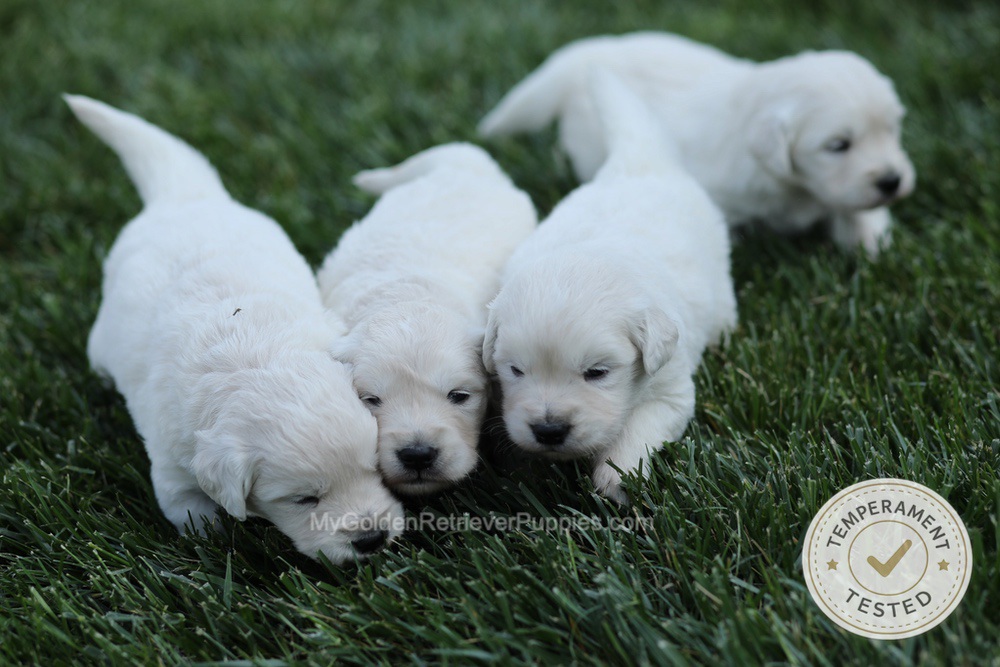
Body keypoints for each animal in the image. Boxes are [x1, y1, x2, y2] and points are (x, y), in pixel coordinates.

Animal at [68, 95, 402, 564]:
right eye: (304, 499)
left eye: (375, 469)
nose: (371, 539)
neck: (255, 359)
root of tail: (186, 197)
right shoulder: (173, 462)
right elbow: (190, 509)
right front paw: (213, 540)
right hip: (105, 329)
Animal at [480, 32, 916, 257]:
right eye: (838, 145)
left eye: (893, 129)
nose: (892, 181)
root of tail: (591, 52)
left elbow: (856, 212)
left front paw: (871, 242)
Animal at [483, 70, 737, 503]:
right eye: (515, 370)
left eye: (597, 372)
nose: (549, 430)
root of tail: (638, 163)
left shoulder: (670, 389)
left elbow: (637, 430)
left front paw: (616, 480)